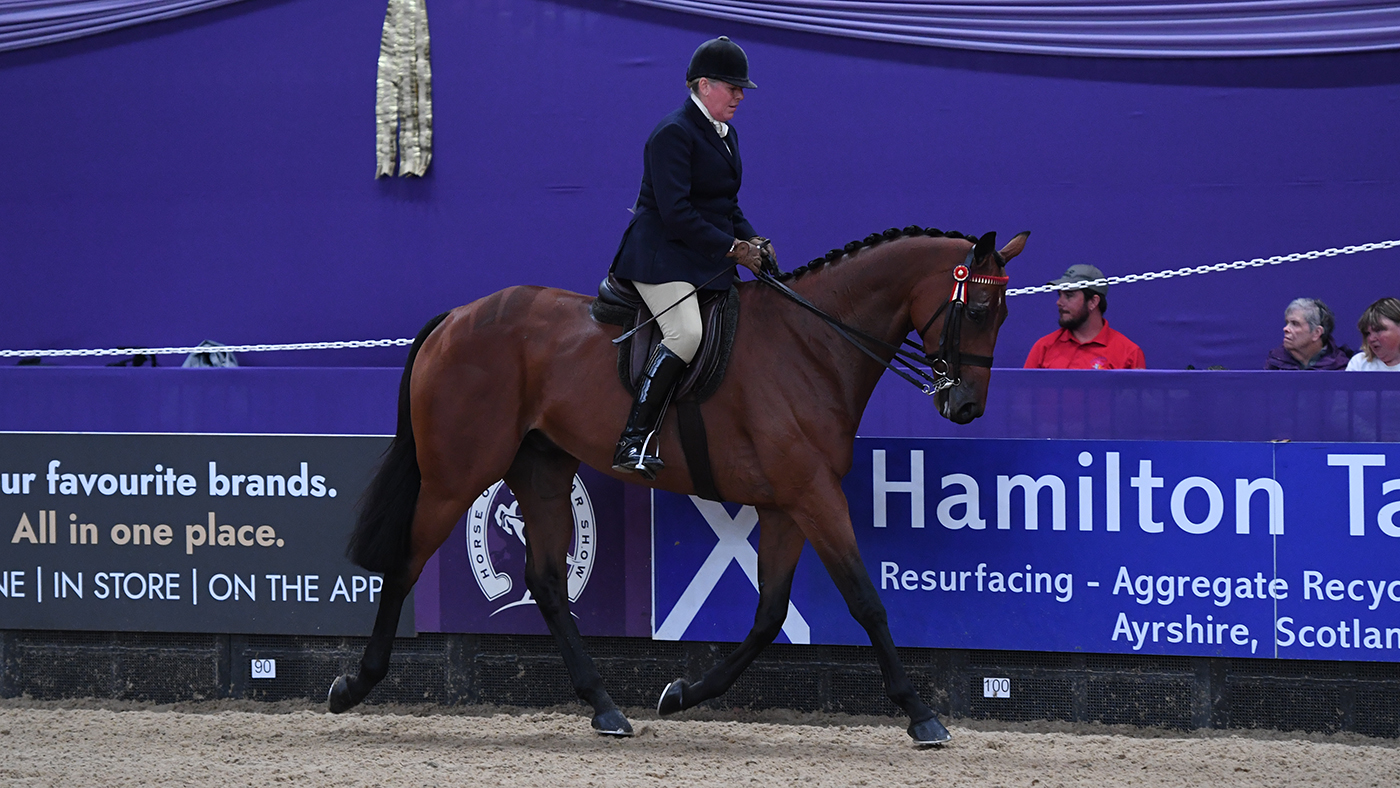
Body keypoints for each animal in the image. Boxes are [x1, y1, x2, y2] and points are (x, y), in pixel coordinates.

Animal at [328, 226, 1029, 745]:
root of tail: (456, 317)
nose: (966, 406)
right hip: (456, 475)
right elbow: (866, 600)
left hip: (543, 471)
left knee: (548, 583)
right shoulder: (813, 496)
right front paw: (921, 715)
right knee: (407, 563)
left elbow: (769, 616)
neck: (813, 343)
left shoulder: (787, 504)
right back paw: (354, 686)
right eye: (980, 309)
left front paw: (683, 694)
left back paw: (606, 708)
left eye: (1004, 313)